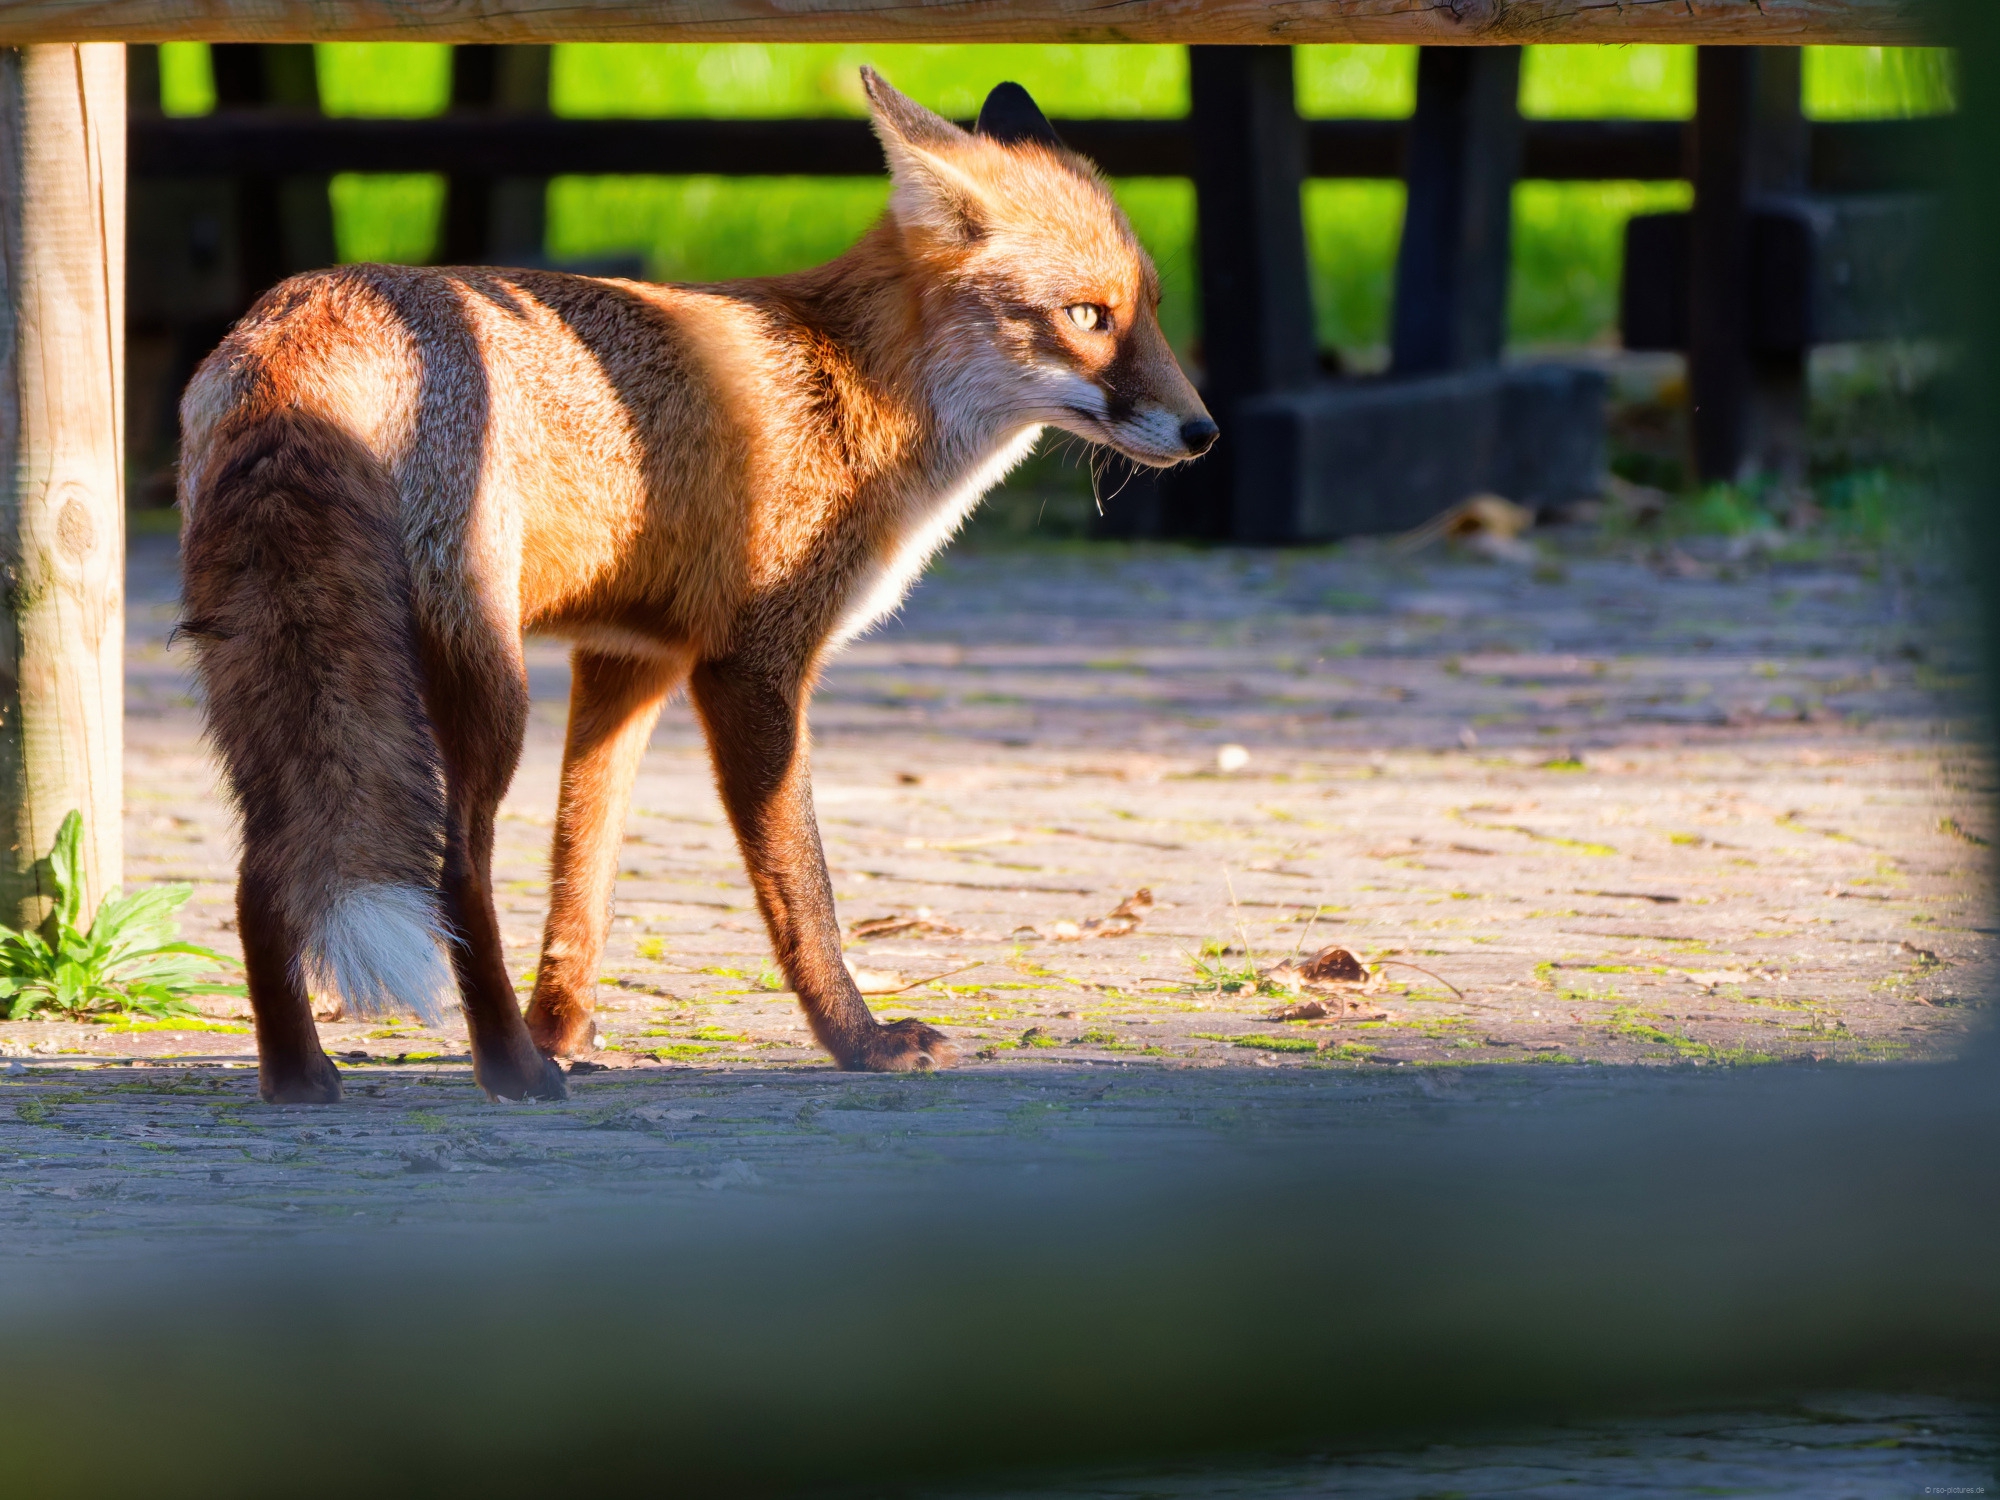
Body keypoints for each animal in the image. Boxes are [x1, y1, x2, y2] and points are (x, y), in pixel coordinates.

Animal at [176, 69, 1216, 1104]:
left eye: (1153, 308)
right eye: (1087, 317)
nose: (1204, 432)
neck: (850, 391)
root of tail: (309, 306)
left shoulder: (626, 661)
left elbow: (582, 877)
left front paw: (565, 1027)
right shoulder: (751, 666)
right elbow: (803, 893)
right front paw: (860, 1041)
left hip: (284, 679)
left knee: (263, 870)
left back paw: (303, 1075)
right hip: (489, 685)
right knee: (455, 869)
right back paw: (509, 1069)